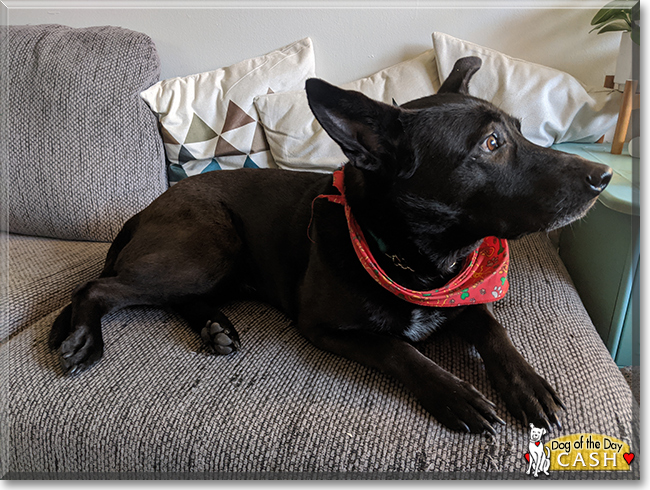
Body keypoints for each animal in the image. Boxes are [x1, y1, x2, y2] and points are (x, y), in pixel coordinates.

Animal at [52, 55, 612, 434]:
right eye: (491, 144)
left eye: (519, 130)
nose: (603, 176)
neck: (413, 260)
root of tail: (148, 207)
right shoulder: (324, 328)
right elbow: (399, 349)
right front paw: (455, 392)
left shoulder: (464, 296)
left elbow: (493, 328)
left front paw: (529, 384)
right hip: (209, 251)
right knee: (97, 288)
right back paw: (86, 339)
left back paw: (214, 327)